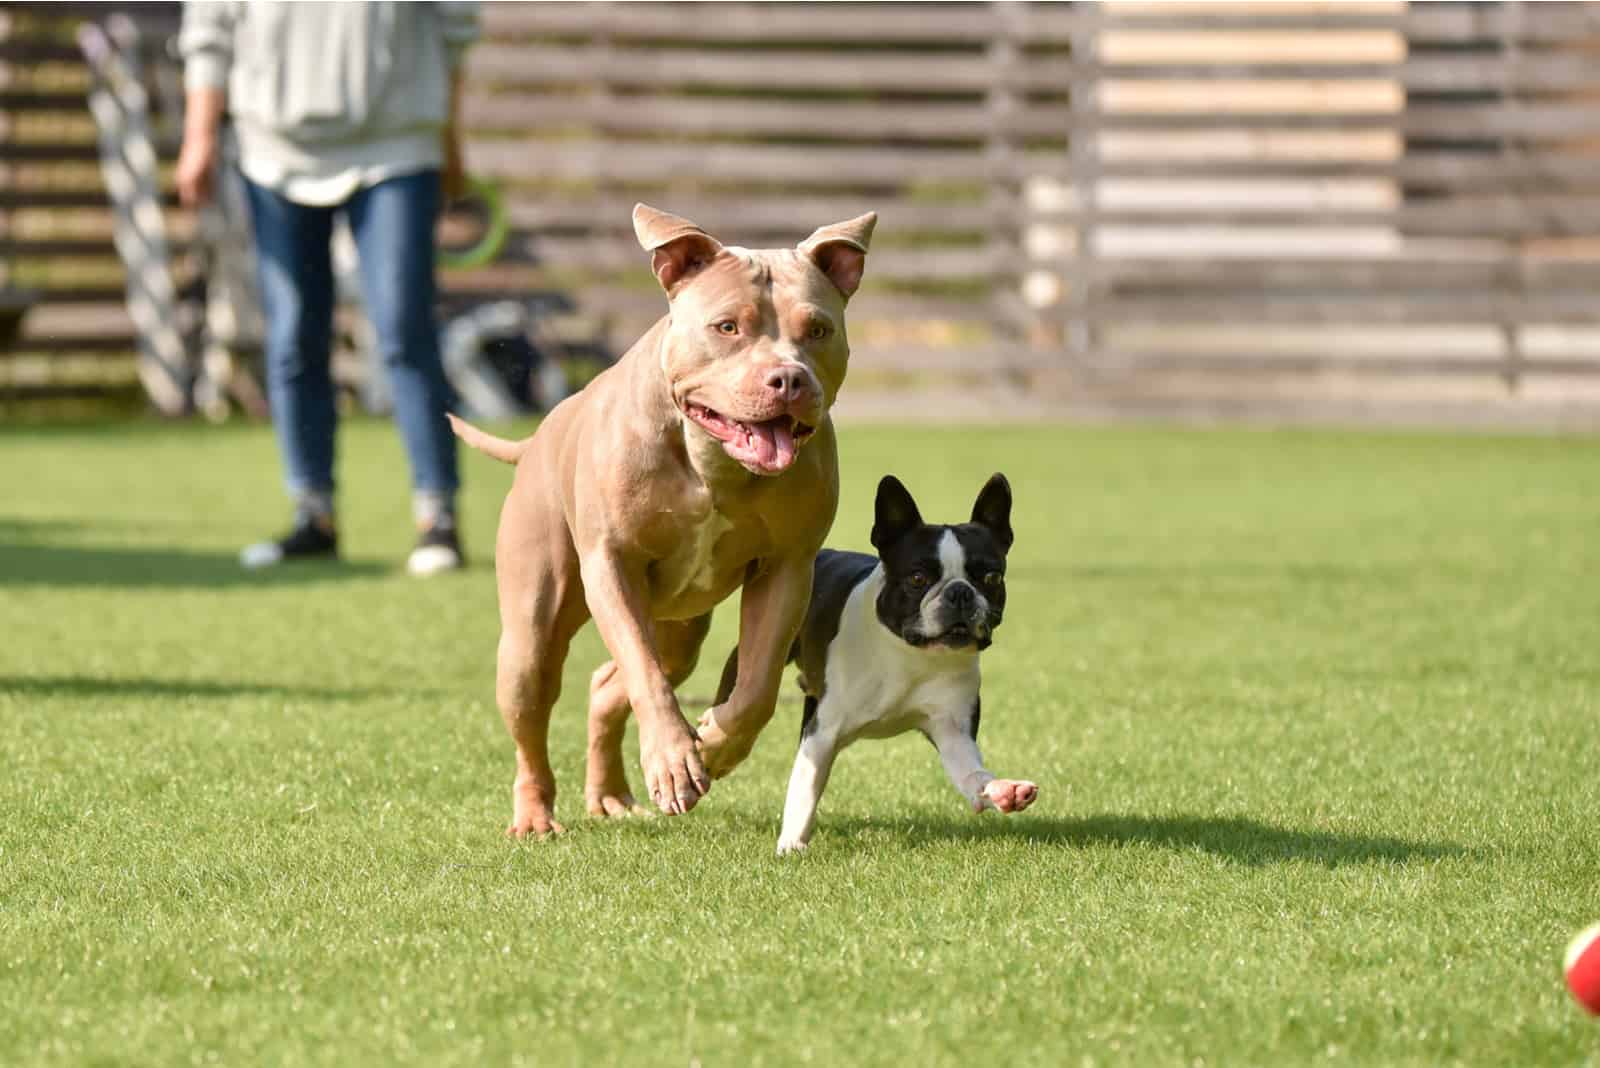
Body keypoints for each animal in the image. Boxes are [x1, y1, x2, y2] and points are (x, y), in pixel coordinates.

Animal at [448, 199, 876, 831]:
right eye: (727, 327)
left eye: (818, 329)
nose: (790, 379)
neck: (710, 461)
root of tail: (543, 433)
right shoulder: (611, 565)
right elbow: (644, 675)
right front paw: (676, 761)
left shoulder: (787, 570)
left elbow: (756, 687)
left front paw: (715, 744)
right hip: (531, 635)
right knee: (539, 713)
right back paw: (534, 817)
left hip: (681, 629)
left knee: (608, 685)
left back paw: (608, 795)